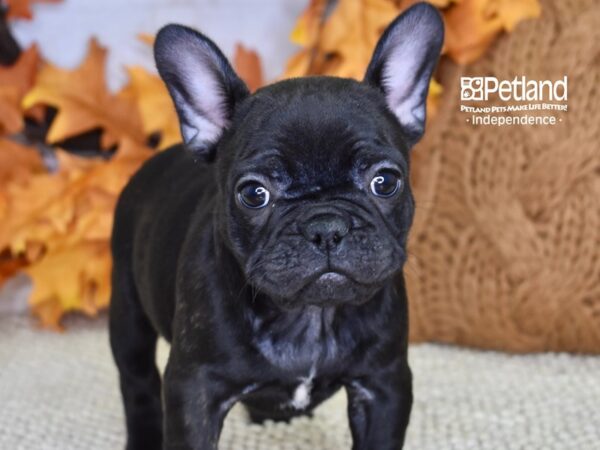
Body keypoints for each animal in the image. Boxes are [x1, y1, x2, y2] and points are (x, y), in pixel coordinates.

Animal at [110, 3, 442, 450]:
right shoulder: (194, 389)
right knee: (138, 383)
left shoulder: (383, 385)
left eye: (385, 181)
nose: (326, 226)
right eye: (254, 194)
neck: (309, 316)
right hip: (127, 314)